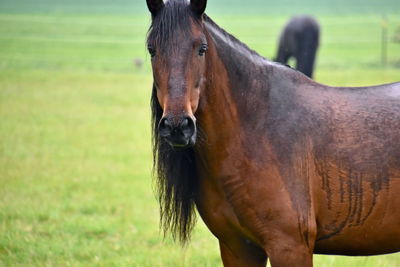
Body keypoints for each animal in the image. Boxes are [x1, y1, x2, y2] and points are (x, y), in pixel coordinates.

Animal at [145, 1, 400, 266]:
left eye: (201, 48)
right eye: (152, 49)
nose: (177, 125)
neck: (255, 128)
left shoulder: (289, 247)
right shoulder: (238, 247)